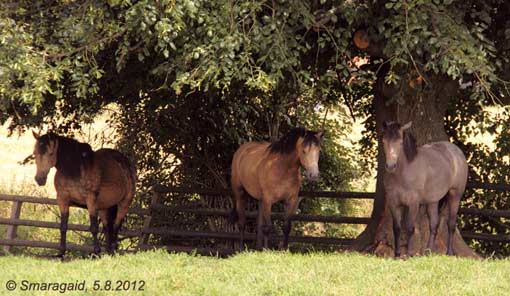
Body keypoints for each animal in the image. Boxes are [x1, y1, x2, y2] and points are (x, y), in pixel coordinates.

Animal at [382, 120, 466, 256]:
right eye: (384, 141)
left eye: (400, 142)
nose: (390, 166)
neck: (403, 173)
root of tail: (457, 152)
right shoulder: (393, 203)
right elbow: (397, 228)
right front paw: (397, 255)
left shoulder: (413, 203)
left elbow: (410, 228)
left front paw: (409, 254)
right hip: (433, 201)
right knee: (434, 225)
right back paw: (428, 251)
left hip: (455, 196)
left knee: (451, 224)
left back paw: (449, 252)